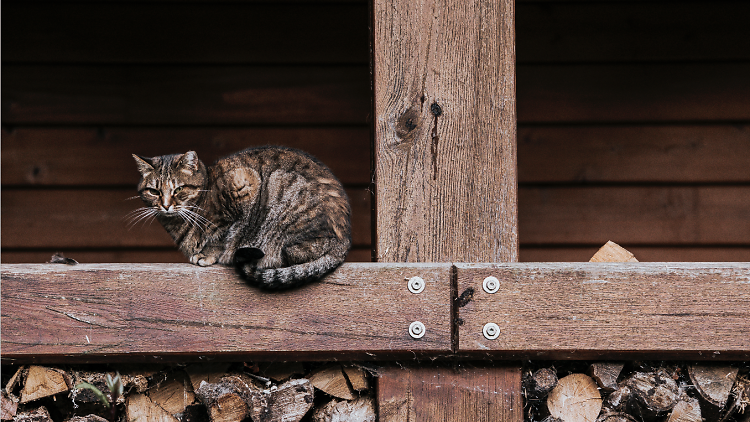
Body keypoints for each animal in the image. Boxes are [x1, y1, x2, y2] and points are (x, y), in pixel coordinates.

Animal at [133, 147, 352, 288]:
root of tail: (344, 242)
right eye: (154, 191)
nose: (166, 205)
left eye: (178, 189)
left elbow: (221, 235)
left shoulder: (243, 184)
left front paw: (207, 253)